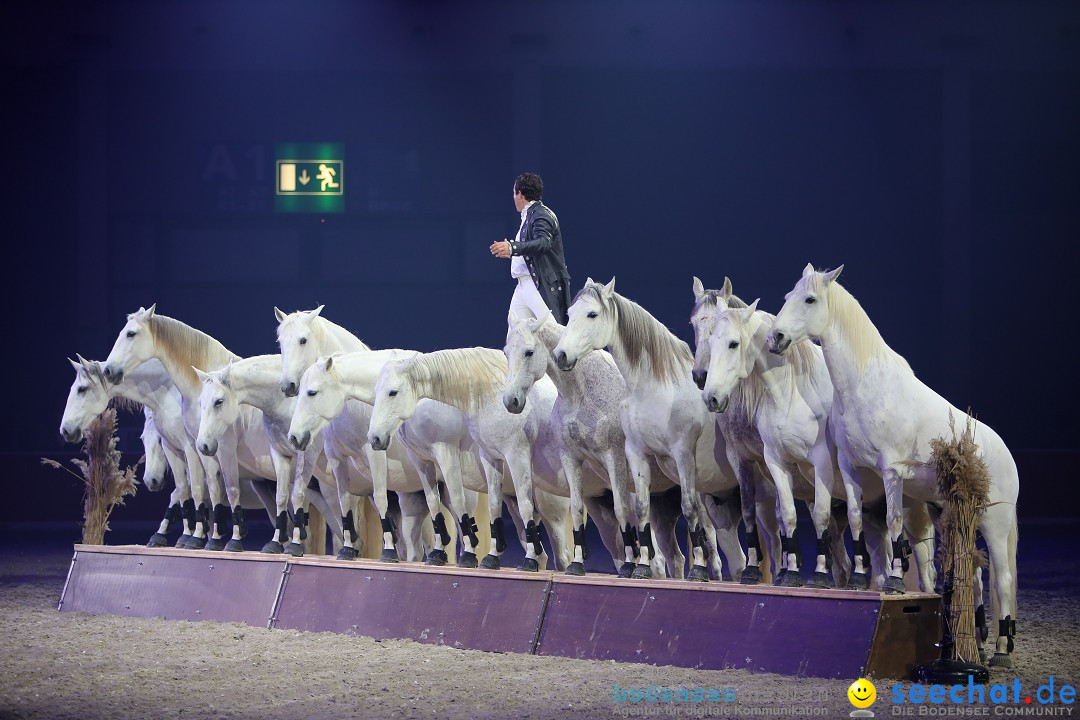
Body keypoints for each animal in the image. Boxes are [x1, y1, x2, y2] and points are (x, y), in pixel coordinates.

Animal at [367, 349, 574, 574]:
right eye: (376, 391)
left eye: (393, 392)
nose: (375, 438)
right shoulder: (425, 462)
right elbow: (438, 505)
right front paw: (443, 554)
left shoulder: (451, 454)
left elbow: (459, 502)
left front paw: (468, 555)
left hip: (551, 507)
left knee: (562, 554)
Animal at [503, 317, 673, 578]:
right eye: (506, 352)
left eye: (529, 352)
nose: (510, 401)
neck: (583, 394)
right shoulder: (571, 458)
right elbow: (576, 510)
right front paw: (577, 564)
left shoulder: (614, 457)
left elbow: (622, 510)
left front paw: (628, 567)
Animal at [552, 278, 747, 582]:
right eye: (570, 314)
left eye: (592, 314)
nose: (561, 355)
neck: (655, 389)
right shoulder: (636, 454)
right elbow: (639, 510)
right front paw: (641, 567)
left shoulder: (682, 454)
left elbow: (689, 509)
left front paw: (693, 570)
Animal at [773, 262, 1015, 669]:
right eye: (787, 296)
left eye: (809, 300)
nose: (775, 337)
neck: (867, 387)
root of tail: (1005, 451)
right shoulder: (852, 470)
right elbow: (857, 520)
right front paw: (860, 580)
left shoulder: (892, 471)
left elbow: (894, 522)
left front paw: (895, 582)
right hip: (951, 513)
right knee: (976, 575)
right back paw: (979, 646)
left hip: (995, 524)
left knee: (1003, 579)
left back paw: (1000, 651)